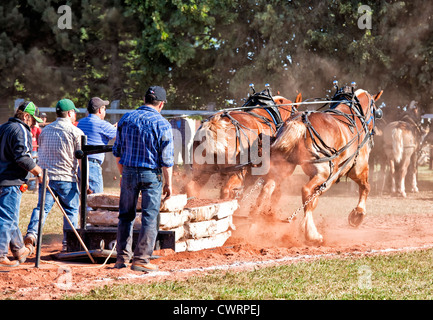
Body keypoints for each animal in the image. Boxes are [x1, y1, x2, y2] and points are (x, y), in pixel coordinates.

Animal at [256, 85, 382, 242]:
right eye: (374, 108)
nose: (374, 132)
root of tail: (301, 121)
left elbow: (314, 200)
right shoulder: (356, 169)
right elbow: (366, 187)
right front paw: (358, 214)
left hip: (283, 167)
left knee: (267, 189)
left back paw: (253, 223)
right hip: (325, 172)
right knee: (305, 190)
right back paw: (312, 234)